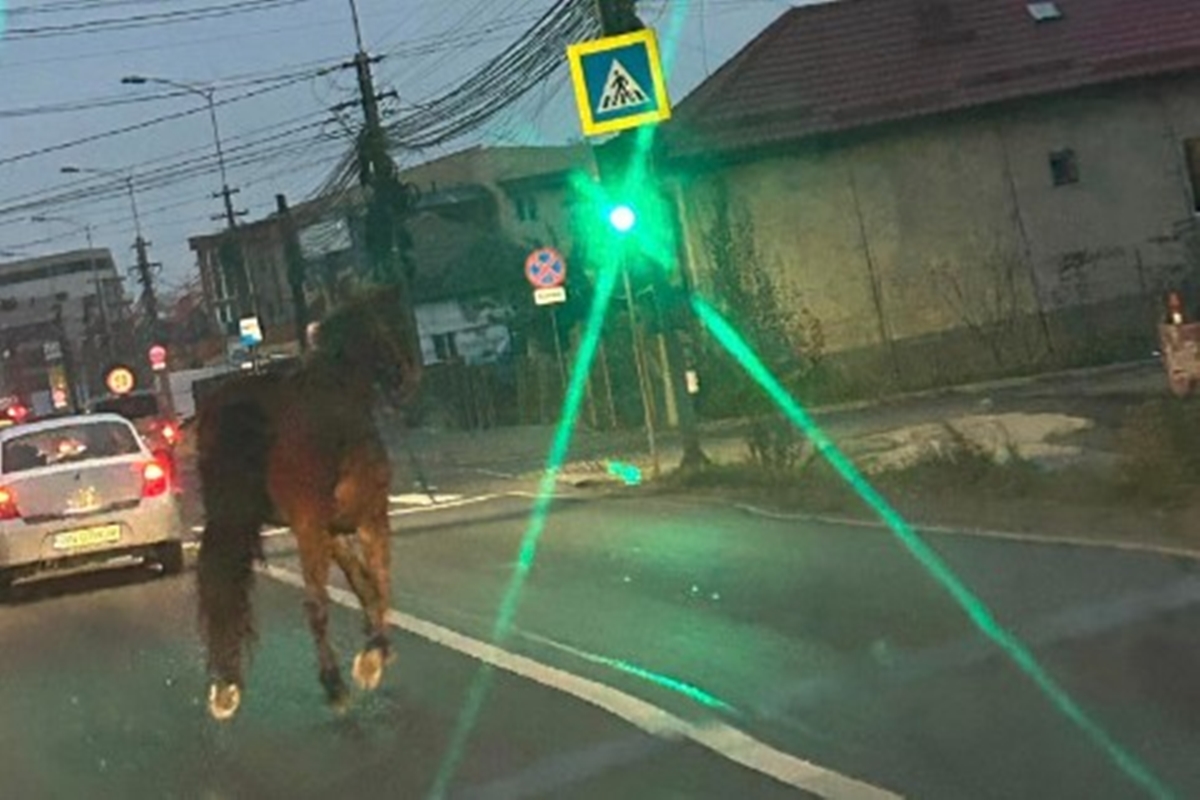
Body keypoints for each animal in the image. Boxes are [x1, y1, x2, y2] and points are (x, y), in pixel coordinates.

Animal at [195, 284, 421, 721]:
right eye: (400, 320)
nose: (410, 377)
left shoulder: (327, 530)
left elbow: (363, 582)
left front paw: (375, 644)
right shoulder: (369, 518)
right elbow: (380, 579)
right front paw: (373, 656)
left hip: (236, 521)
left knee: (222, 586)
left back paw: (226, 685)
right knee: (313, 605)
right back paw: (334, 686)